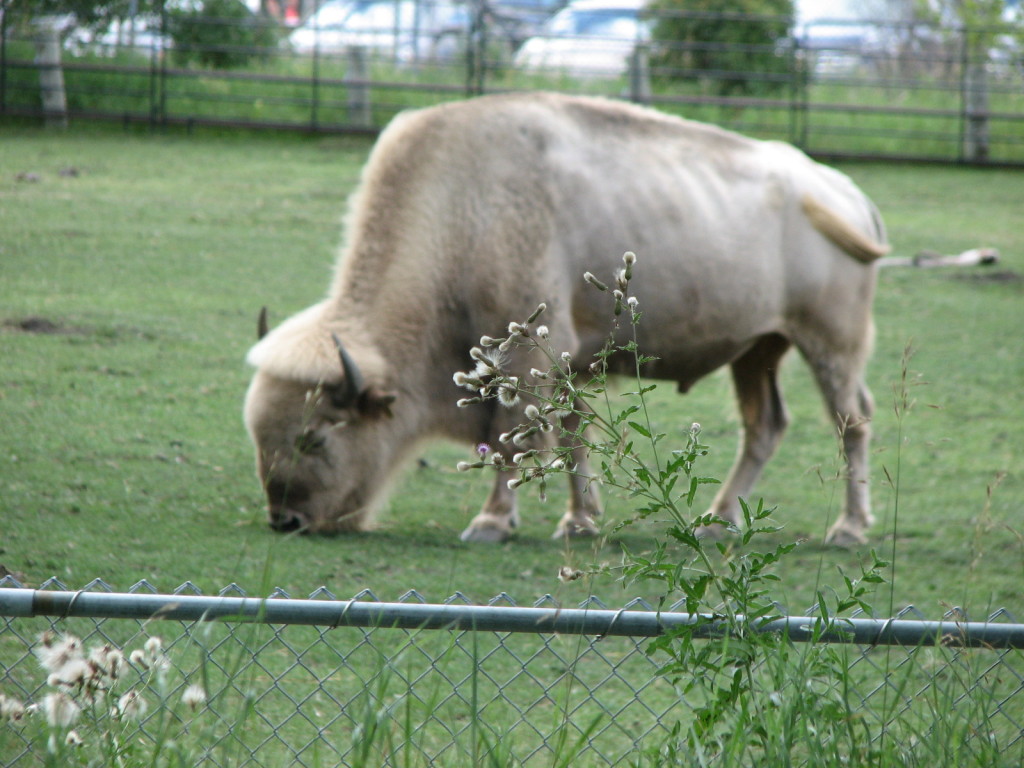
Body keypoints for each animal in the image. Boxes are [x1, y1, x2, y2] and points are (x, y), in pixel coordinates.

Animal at [241, 90, 888, 548]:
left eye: (315, 435)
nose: (286, 520)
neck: (463, 212)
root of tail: (849, 193)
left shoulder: (522, 358)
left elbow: (513, 437)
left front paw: (491, 523)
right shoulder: (569, 364)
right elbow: (575, 435)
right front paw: (579, 521)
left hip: (830, 342)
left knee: (851, 420)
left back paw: (848, 530)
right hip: (759, 349)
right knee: (765, 425)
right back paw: (715, 520)